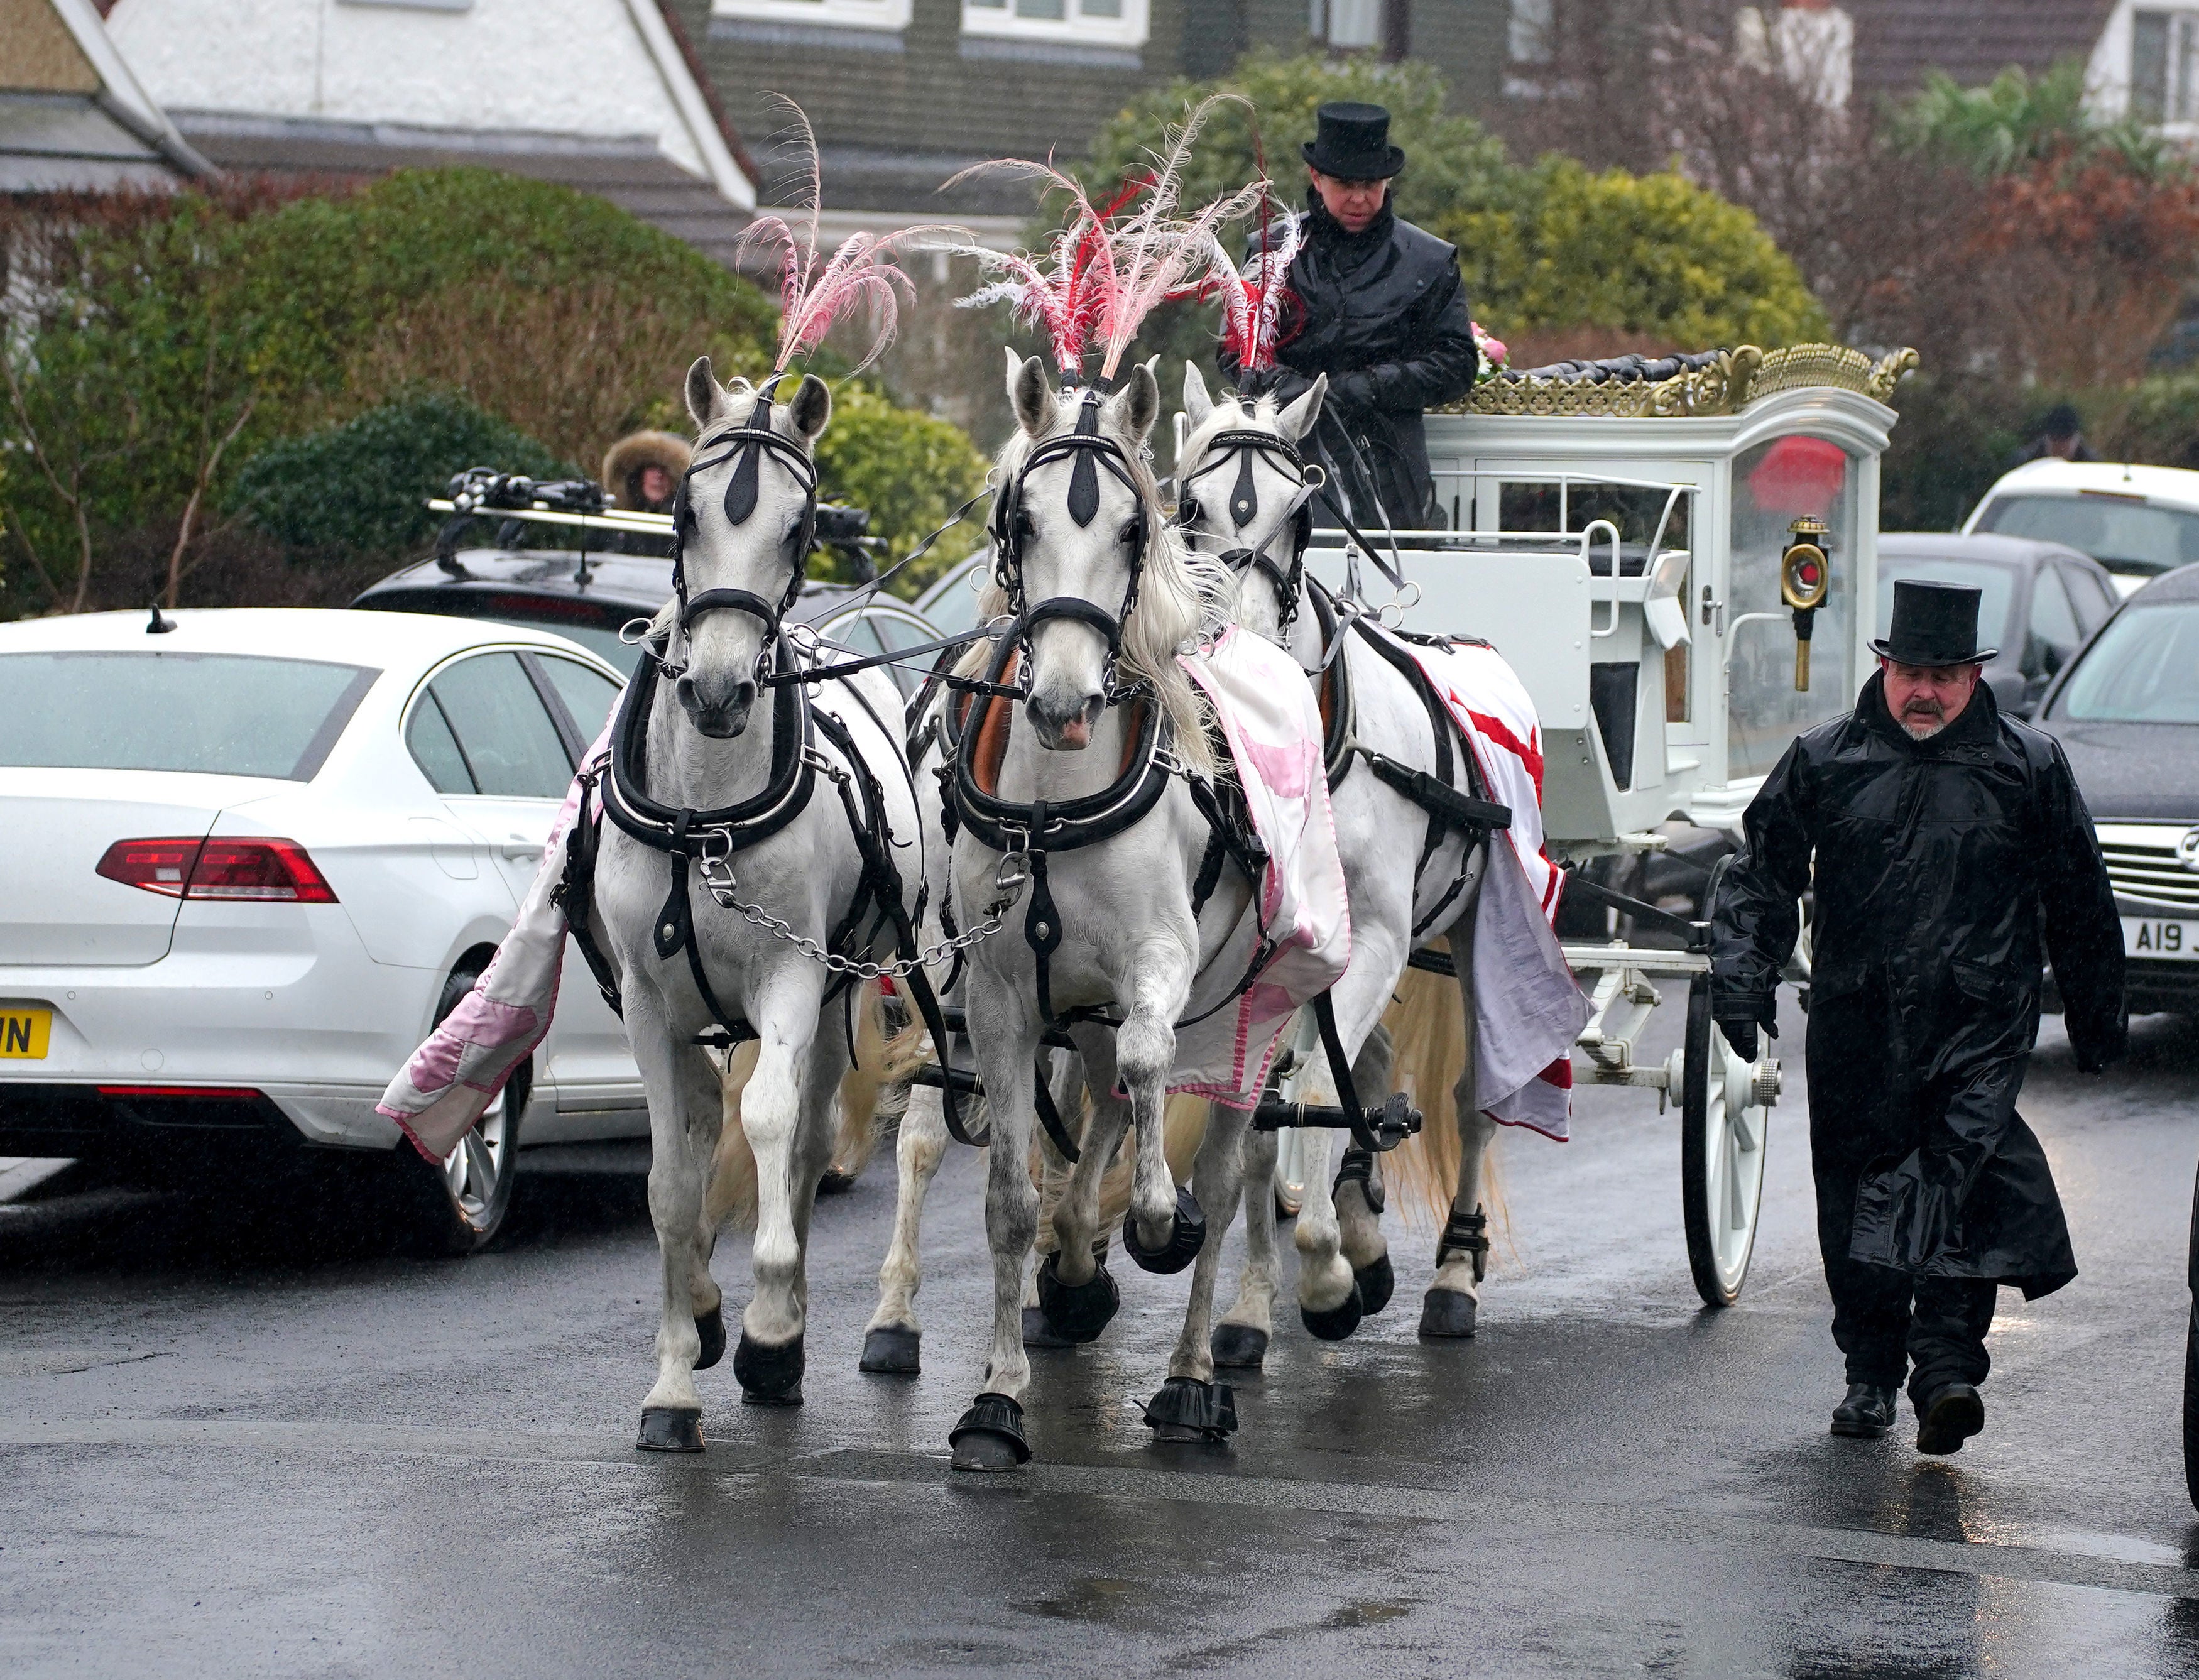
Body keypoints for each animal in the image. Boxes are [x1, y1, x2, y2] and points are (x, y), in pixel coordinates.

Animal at [589, 361, 924, 1451]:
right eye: (685, 515)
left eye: (801, 521)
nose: (721, 690)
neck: (704, 806)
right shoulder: (649, 1001)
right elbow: (667, 1179)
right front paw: (672, 1380)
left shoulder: (792, 972)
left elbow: (774, 1122)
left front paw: (772, 1324)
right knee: (707, 1122)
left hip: (838, 985)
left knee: (810, 1133)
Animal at [1179, 367, 1504, 1355]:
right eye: (1189, 504)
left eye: (1302, 514)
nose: (1243, 654)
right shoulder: (1266, 955)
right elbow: (1271, 1109)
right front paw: (1255, 1303)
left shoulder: (1383, 940)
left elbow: (1316, 1085)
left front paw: (1322, 1271)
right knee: (1362, 1070)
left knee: (1472, 1096)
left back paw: (1453, 1270)